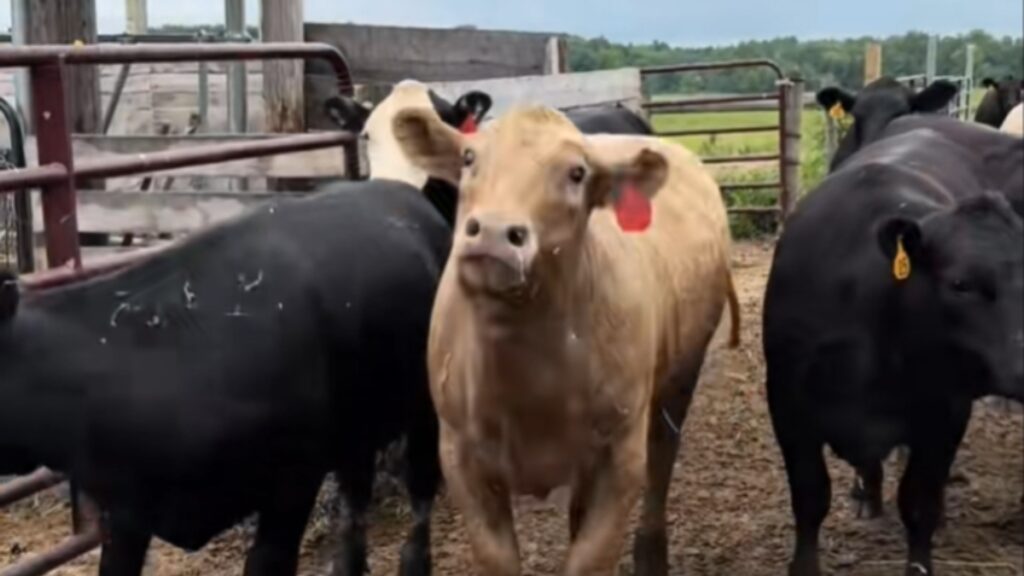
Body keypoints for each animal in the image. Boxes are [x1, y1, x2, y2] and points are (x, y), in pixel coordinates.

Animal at [0, 178, 454, 576]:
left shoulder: (294, 480)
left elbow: (266, 563)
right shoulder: (127, 510)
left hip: (425, 407)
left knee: (420, 489)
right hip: (356, 423)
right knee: (355, 502)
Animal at [389, 104, 741, 576]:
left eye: (576, 173)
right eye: (468, 158)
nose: (494, 232)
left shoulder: (619, 457)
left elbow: (590, 558)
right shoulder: (460, 456)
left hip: (680, 376)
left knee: (663, 458)